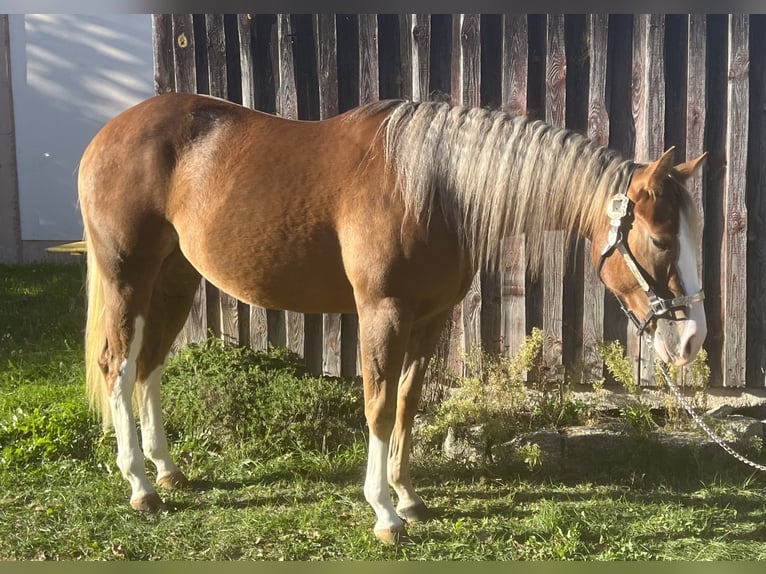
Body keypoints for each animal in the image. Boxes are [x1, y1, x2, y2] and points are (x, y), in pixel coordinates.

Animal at [78, 92, 707, 543]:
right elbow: (378, 406)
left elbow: (407, 400)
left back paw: (166, 470)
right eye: (659, 239)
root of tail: (107, 134)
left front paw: (407, 496)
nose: (691, 339)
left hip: (175, 278)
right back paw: (139, 484)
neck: (434, 189)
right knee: (118, 365)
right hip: (128, 278)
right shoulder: (382, 313)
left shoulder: (430, 318)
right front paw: (384, 513)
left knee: (149, 367)